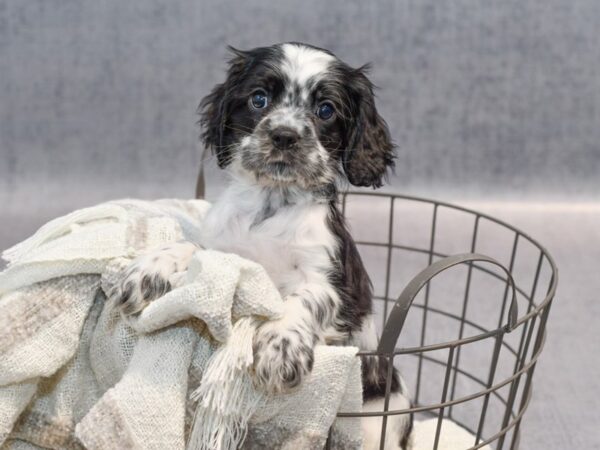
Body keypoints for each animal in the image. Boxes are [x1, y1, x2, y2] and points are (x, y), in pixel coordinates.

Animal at [113, 43, 412, 450]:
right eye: (259, 99)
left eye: (326, 110)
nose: (284, 135)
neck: (271, 206)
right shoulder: (225, 253)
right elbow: (191, 247)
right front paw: (147, 270)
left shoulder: (335, 284)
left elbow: (301, 300)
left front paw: (280, 348)